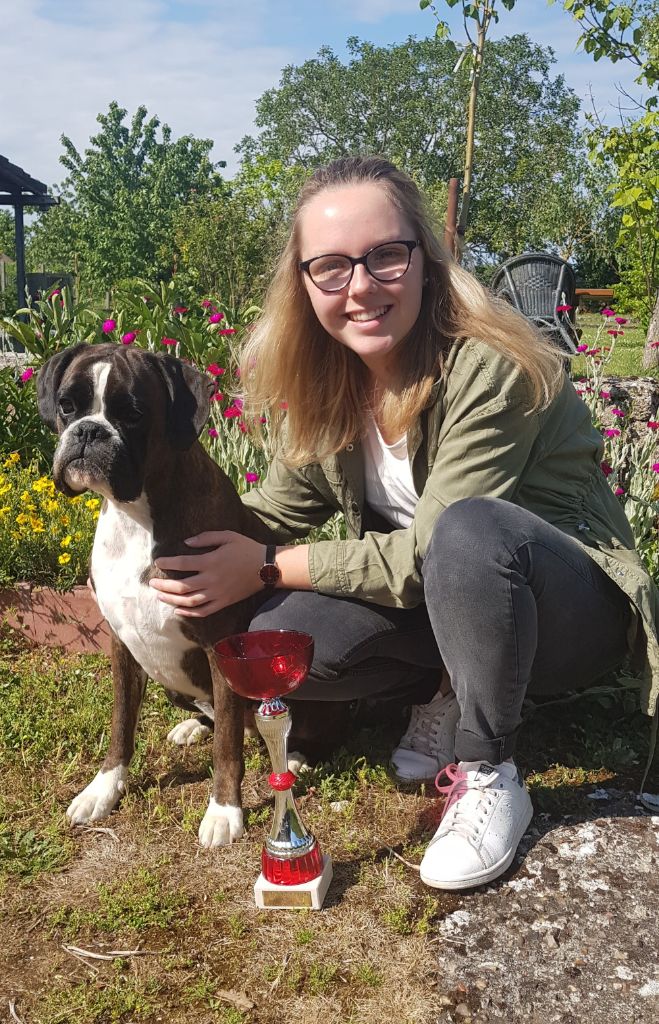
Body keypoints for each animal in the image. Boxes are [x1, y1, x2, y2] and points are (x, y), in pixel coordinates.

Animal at [37, 344, 282, 847]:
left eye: (132, 413)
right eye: (68, 406)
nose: (88, 431)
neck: (135, 514)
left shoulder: (221, 645)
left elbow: (228, 743)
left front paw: (224, 811)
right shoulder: (121, 645)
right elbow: (120, 723)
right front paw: (103, 790)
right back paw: (192, 725)